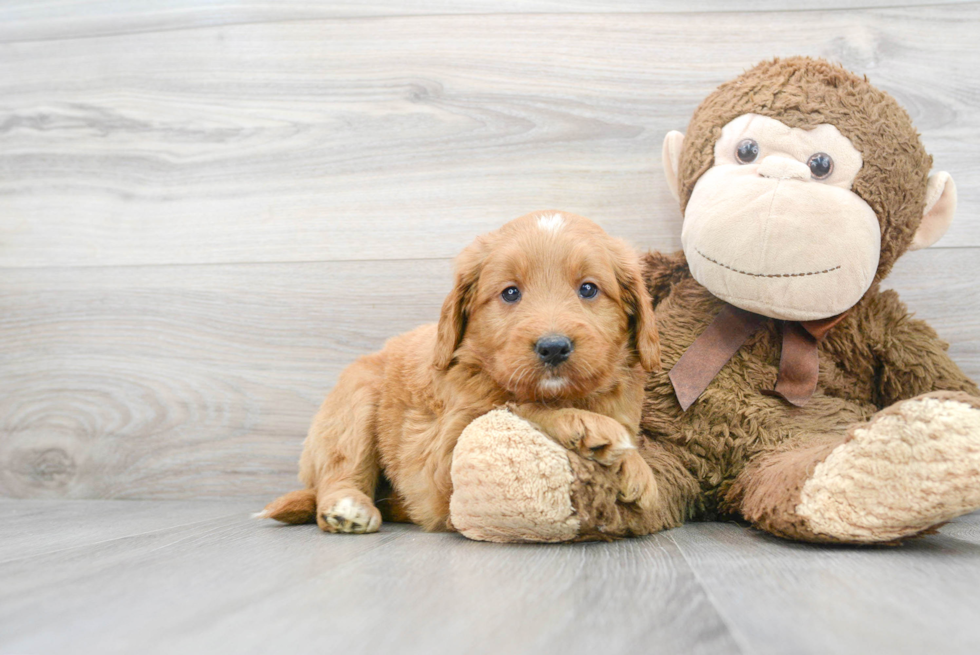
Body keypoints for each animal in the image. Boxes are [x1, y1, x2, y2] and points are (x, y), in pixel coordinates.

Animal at [256, 213, 664, 536]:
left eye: (589, 289)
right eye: (510, 293)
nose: (553, 347)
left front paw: (632, 465)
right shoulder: (440, 460)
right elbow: (517, 405)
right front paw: (597, 433)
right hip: (355, 400)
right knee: (341, 468)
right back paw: (348, 508)